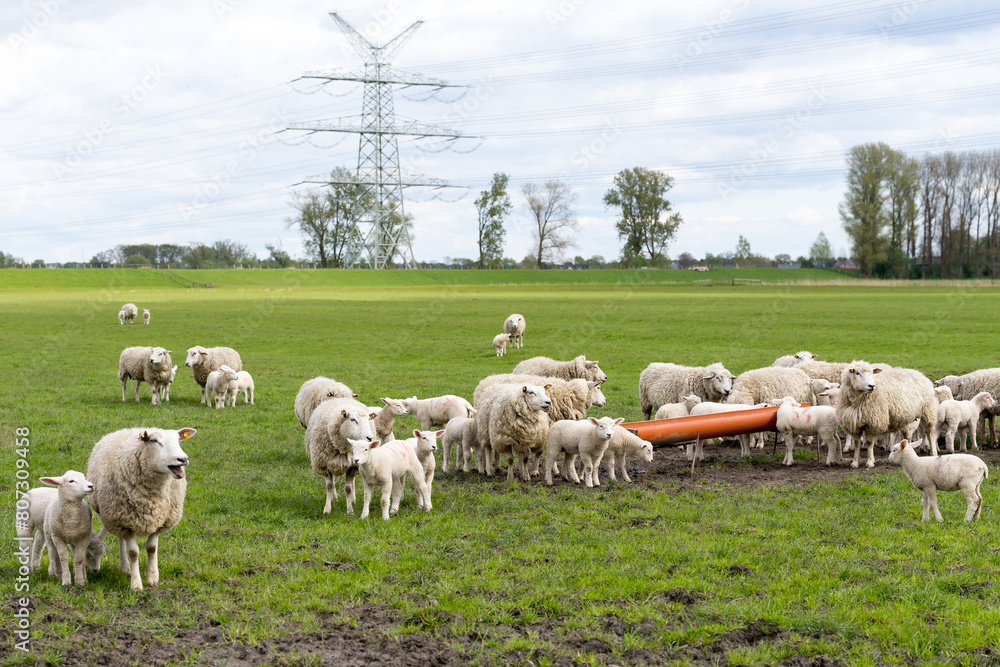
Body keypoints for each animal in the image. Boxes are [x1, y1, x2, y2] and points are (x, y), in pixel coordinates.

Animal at [86, 427, 194, 591]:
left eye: (178, 440)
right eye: (154, 441)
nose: (183, 459)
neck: (152, 498)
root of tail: (128, 429)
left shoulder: (160, 520)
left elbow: (152, 548)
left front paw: (153, 578)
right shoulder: (124, 522)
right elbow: (133, 552)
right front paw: (136, 584)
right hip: (116, 517)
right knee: (121, 539)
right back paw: (126, 567)